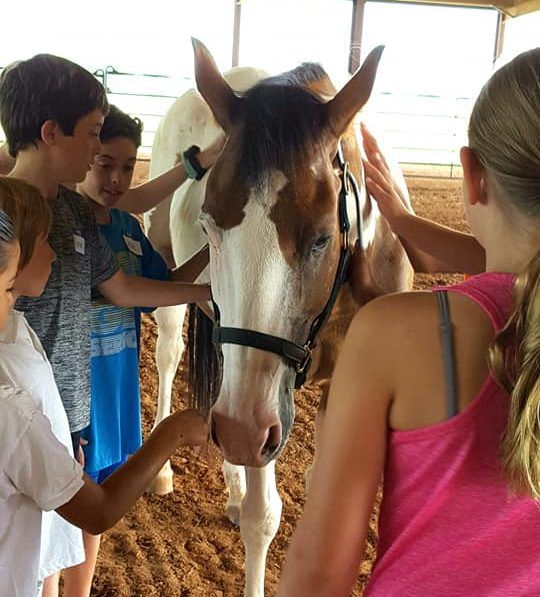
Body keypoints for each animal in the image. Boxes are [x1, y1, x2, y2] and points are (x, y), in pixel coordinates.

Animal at [146, 39, 412, 592]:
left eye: (321, 237)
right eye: (209, 225)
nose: (242, 432)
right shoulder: (261, 405)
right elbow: (262, 515)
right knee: (168, 355)